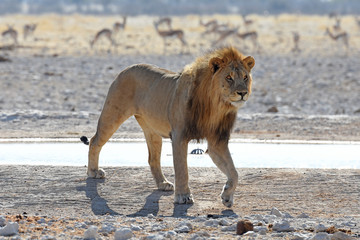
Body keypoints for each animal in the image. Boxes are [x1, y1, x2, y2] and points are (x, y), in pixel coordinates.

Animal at [83, 46, 255, 207]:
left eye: (245, 77)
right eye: (229, 77)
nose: (242, 93)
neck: (216, 105)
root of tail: (126, 69)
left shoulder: (217, 141)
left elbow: (234, 172)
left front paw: (227, 196)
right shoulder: (179, 136)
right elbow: (182, 169)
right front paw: (183, 196)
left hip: (152, 131)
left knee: (153, 159)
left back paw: (163, 183)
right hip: (112, 115)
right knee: (94, 141)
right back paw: (93, 172)